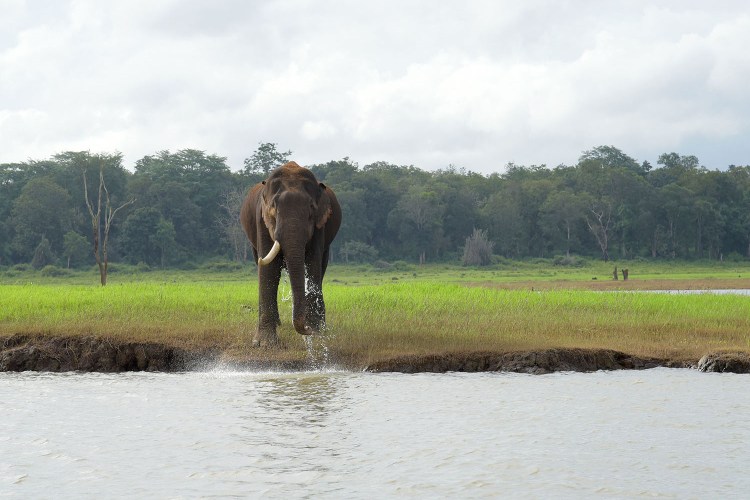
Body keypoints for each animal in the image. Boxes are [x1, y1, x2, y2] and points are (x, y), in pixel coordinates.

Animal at [240, 161, 341, 347]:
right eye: (274, 208)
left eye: (311, 210)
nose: (307, 330)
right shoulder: (261, 219)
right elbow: (269, 269)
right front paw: (265, 344)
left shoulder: (320, 225)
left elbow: (312, 264)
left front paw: (317, 334)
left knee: (321, 267)